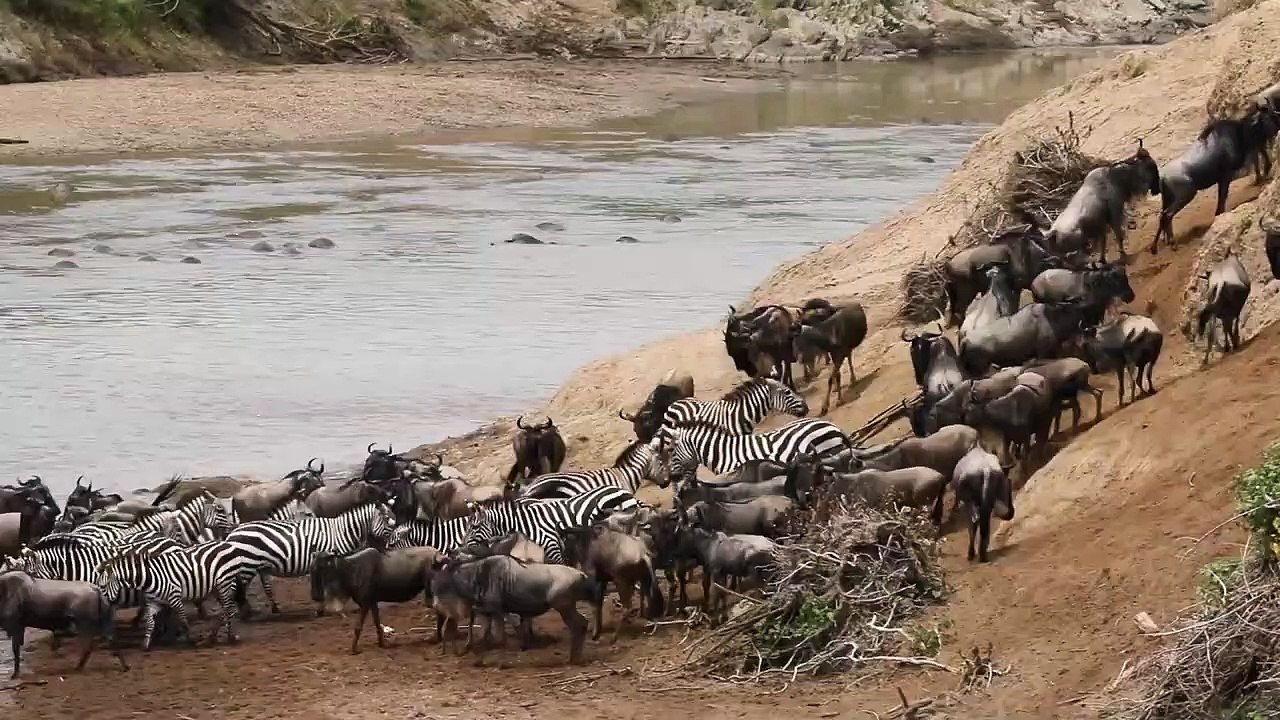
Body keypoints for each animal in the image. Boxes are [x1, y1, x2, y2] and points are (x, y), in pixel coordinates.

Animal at [96, 541, 255, 649]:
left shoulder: (174, 597)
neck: (150, 577)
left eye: (103, 586)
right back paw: (220, 636)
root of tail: (228, 544)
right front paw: (145, 644)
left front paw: (191, 640)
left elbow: (183, 620)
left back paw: (225, 637)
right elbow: (149, 622)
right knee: (228, 609)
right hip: (217, 587)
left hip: (224, 583)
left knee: (229, 608)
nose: (104, 606)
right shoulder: (153, 602)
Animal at [224, 502, 397, 615]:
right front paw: (335, 607)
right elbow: (332, 585)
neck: (341, 532)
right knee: (237, 589)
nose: (389, 548)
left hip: (256, 567)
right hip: (247, 566)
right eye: (390, 526)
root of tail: (232, 533)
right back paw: (245, 614)